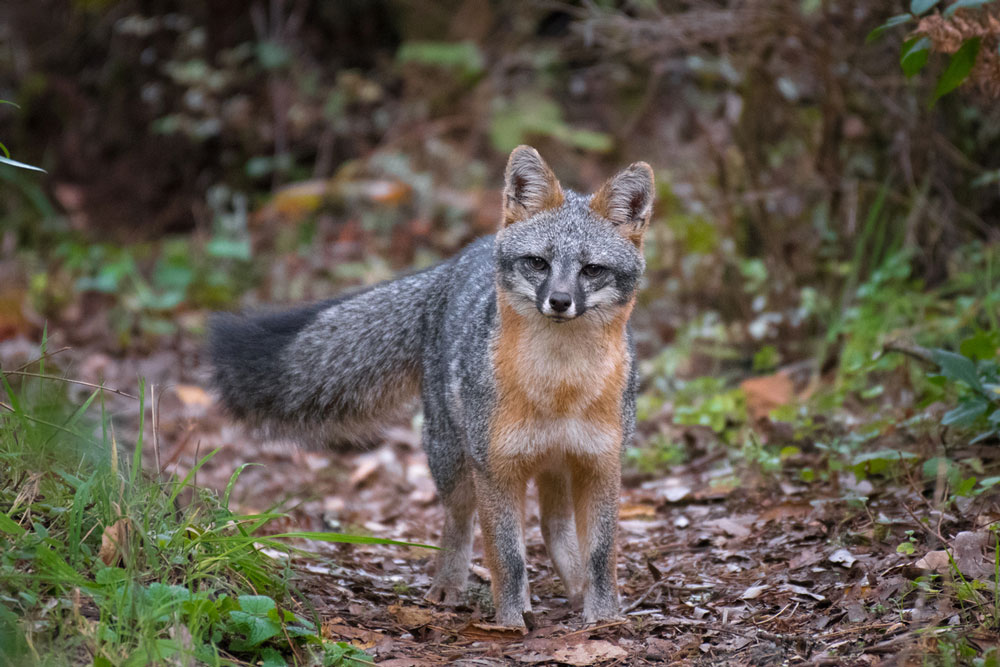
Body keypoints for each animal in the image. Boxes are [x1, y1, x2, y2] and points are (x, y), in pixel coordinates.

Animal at [207, 146, 652, 628]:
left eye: (592, 270)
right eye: (539, 263)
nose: (559, 301)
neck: (560, 389)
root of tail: (461, 257)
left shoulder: (600, 465)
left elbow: (602, 556)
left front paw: (603, 617)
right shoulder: (496, 469)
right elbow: (507, 557)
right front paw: (511, 623)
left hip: (554, 464)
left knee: (553, 528)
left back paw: (574, 590)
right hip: (453, 459)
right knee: (461, 523)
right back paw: (450, 587)